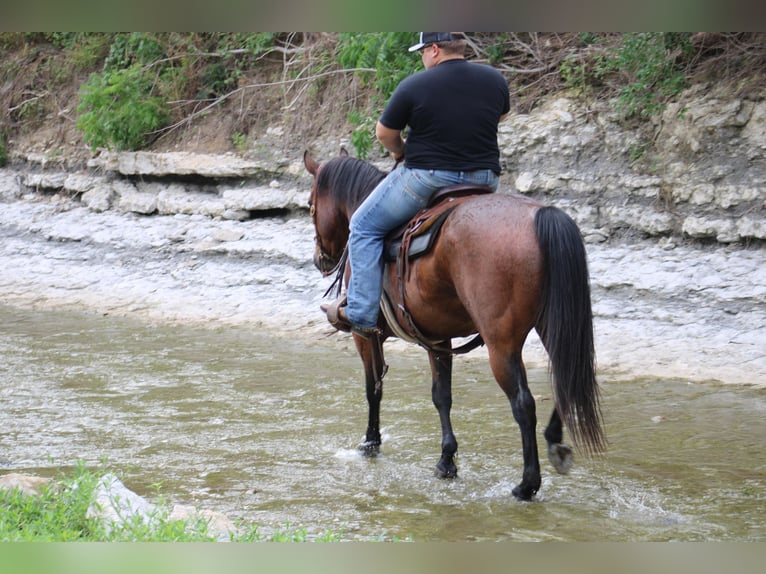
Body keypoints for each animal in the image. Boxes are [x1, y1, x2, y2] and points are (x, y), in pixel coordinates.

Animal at [302, 150, 608, 504]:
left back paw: (527, 484)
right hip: (552, 327)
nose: (320, 259)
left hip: (501, 344)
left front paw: (370, 443)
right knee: (564, 379)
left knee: (523, 404)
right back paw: (555, 443)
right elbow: (442, 396)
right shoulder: (438, 338)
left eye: (310, 205)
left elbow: (373, 388)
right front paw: (447, 460)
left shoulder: (365, 335)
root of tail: (540, 216)